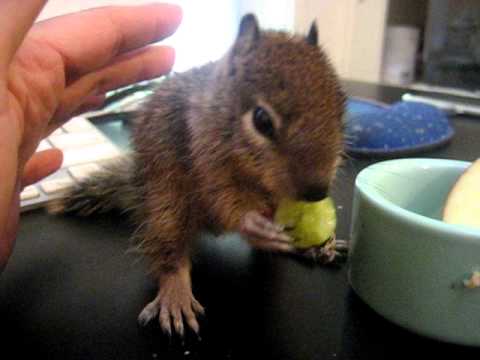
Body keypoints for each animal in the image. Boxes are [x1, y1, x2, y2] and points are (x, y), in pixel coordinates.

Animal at [48, 14, 346, 338]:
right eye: (262, 120)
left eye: (341, 108)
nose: (317, 192)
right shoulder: (204, 158)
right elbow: (223, 202)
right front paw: (251, 223)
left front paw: (312, 237)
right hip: (164, 205)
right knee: (169, 252)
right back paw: (175, 293)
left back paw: (311, 248)